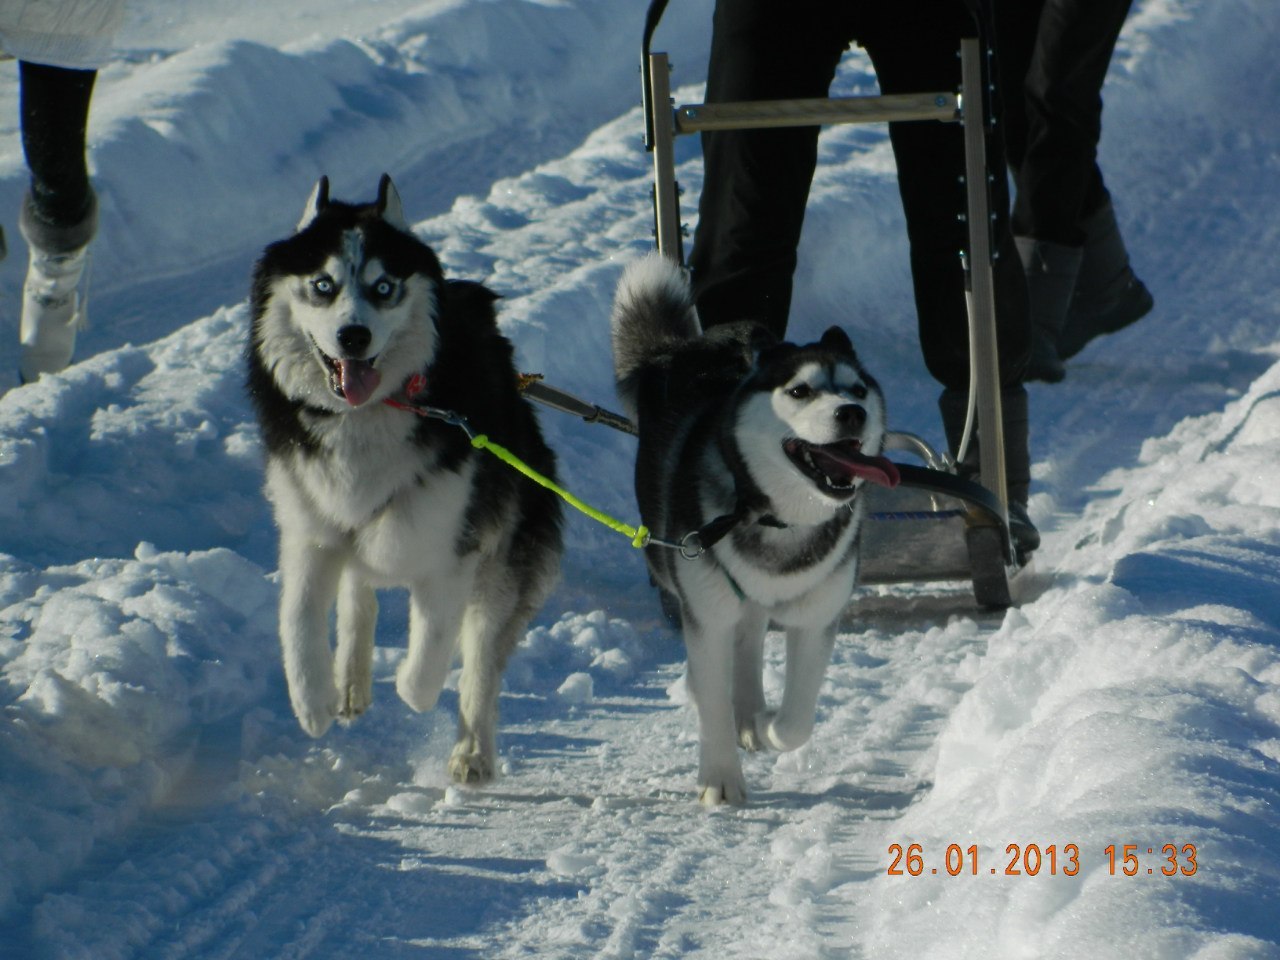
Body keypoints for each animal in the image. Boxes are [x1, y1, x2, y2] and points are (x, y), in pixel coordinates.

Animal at [247, 176, 563, 783]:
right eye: (322, 285)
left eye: (384, 287)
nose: (352, 335)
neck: (365, 416)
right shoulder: (310, 531)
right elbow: (297, 619)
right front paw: (314, 702)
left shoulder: (452, 546)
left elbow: (432, 651)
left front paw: (413, 688)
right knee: (358, 587)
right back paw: (349, 681)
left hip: (504, 554)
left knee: (479, 657)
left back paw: (471, 752)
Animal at [611, 253, 901, 803]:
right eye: (800, 390)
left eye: (856, 389)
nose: (851, 412)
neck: (777, 516)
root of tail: (690, 345)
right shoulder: (705, 614)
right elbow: (710, 697)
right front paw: (720, 779)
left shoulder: (817, 617)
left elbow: (796, 721)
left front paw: (767, 726)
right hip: (677, 570)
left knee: (748, 638)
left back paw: (749, 714)